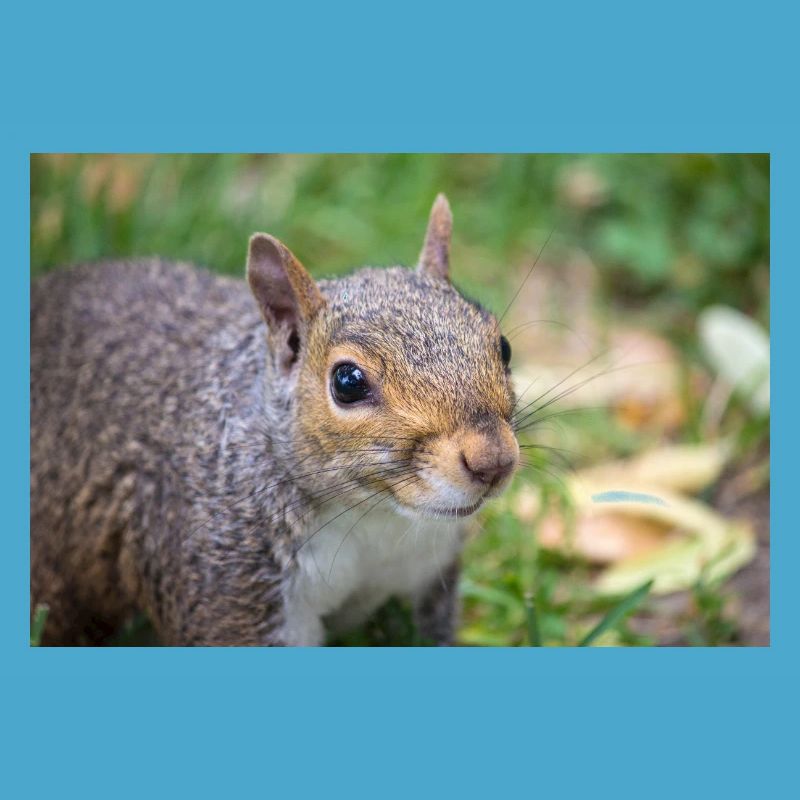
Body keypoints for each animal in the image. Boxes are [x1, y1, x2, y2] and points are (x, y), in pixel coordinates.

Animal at [30, 194, 520, 646]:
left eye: (504, 347)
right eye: (347, 382)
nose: (493, 461)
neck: (374, 516)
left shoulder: (427, 571)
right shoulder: (230, 584)